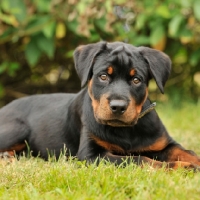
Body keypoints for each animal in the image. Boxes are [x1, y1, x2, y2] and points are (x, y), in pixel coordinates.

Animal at [0, 41, 200, 170]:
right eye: (103, 76)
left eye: (136, 80)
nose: (118, 107)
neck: (126, 130)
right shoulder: (91, 155)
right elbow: (138, 159)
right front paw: (183, 168)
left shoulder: (163, 143)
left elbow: (186, 151)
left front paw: (192, 162)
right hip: (18, 128)